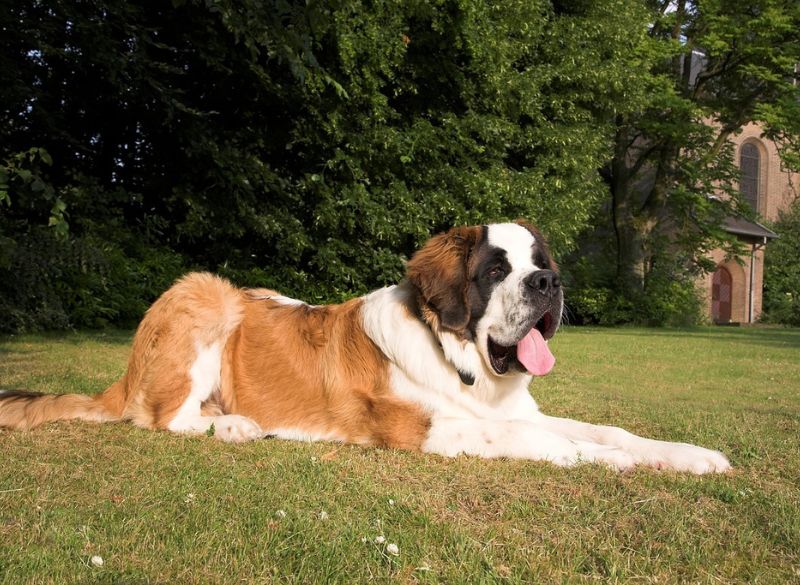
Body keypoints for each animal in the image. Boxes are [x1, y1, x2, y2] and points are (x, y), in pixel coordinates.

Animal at [0, 221, 728, 472]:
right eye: (496, 269)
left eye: (538, 263)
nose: (548, 283)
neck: (460, 360)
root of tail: (124, 370)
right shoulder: (428, 428)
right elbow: (544, 440)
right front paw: (608, 461)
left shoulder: (512, 409)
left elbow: (604, 428)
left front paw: (690, 455)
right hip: (208, 293)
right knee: (160, 416)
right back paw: (233, 424)